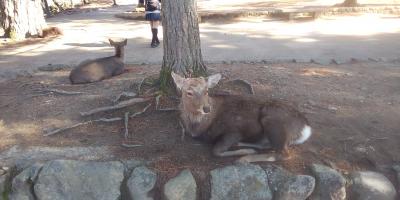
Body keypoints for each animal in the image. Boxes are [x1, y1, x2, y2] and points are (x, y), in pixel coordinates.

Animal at [172, 72, 312, 162]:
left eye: (207, 91)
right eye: (189, 92)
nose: (206, 108)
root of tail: (306, 128)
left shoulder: (234, 129)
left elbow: (216, 151)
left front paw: (245, 153)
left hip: (273, 120)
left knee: (283, 153)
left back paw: (244, 158)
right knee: (267, 145)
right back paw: (243, 145)